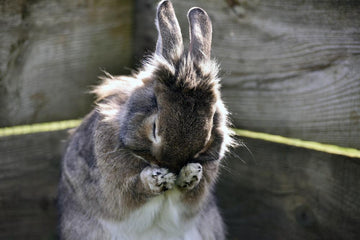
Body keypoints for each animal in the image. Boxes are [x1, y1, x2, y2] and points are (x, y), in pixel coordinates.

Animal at [58, 0, 233, 239]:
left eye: (207, 136)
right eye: (155, 128)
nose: (171, 166)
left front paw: (189, 174)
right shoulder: (115, 190)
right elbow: (132, 193)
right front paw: (158, 179)